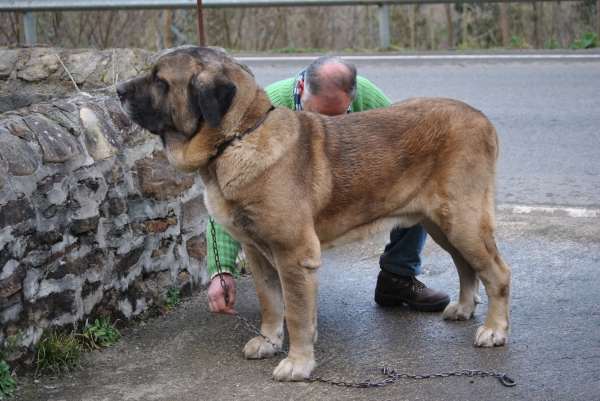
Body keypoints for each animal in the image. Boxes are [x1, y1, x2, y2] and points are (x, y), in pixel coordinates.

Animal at [117, 45, 510, 380]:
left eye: (159, 79)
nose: (118, 89)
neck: (238, 137)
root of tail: (483, 120)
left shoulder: (294, 256)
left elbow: (297, 315)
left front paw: (298, 363)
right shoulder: (258, 253)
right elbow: (272, 304)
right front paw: (270, 342)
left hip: (462, 220)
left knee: (497, 273)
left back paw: (493, 329)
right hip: (442, 223)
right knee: (466, 266)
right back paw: (464, 307)